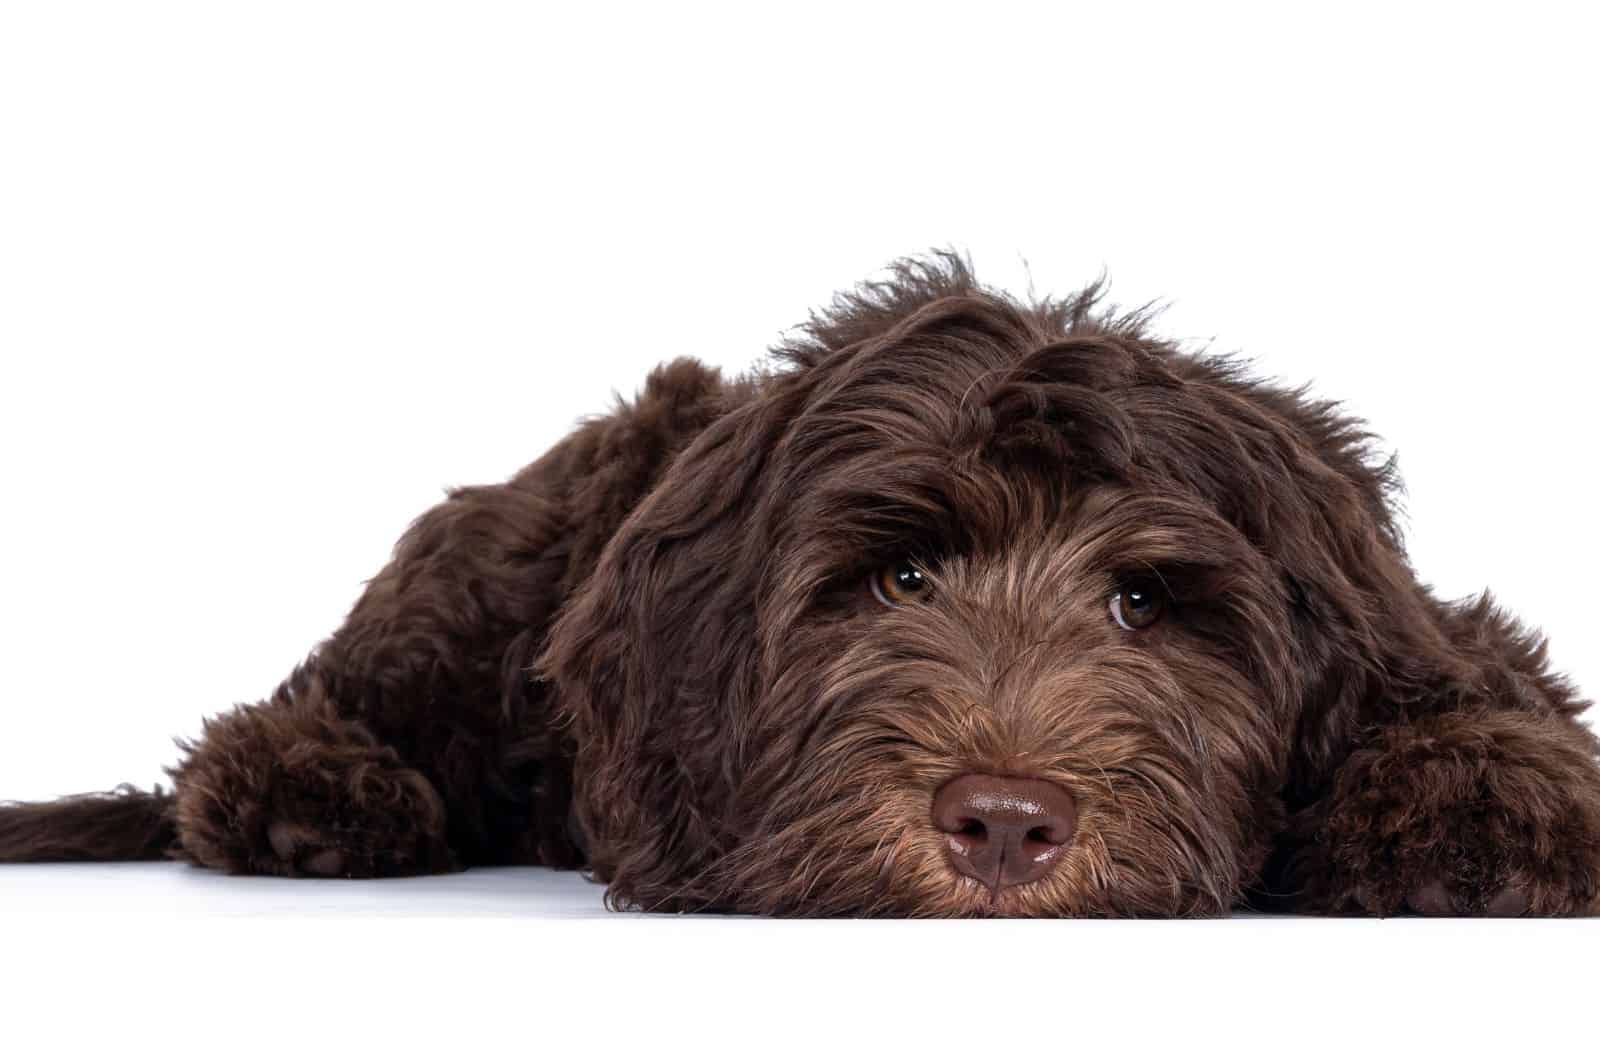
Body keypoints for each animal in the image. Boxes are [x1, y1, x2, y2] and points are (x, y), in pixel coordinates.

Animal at [3, 256, 1600, 915]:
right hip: (485, 573)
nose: (1004, 825)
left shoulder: (1402, 614)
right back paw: (314, 796)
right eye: (899, 577)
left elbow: (1488, 694)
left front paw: (1486, 811)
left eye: (1143, 604)